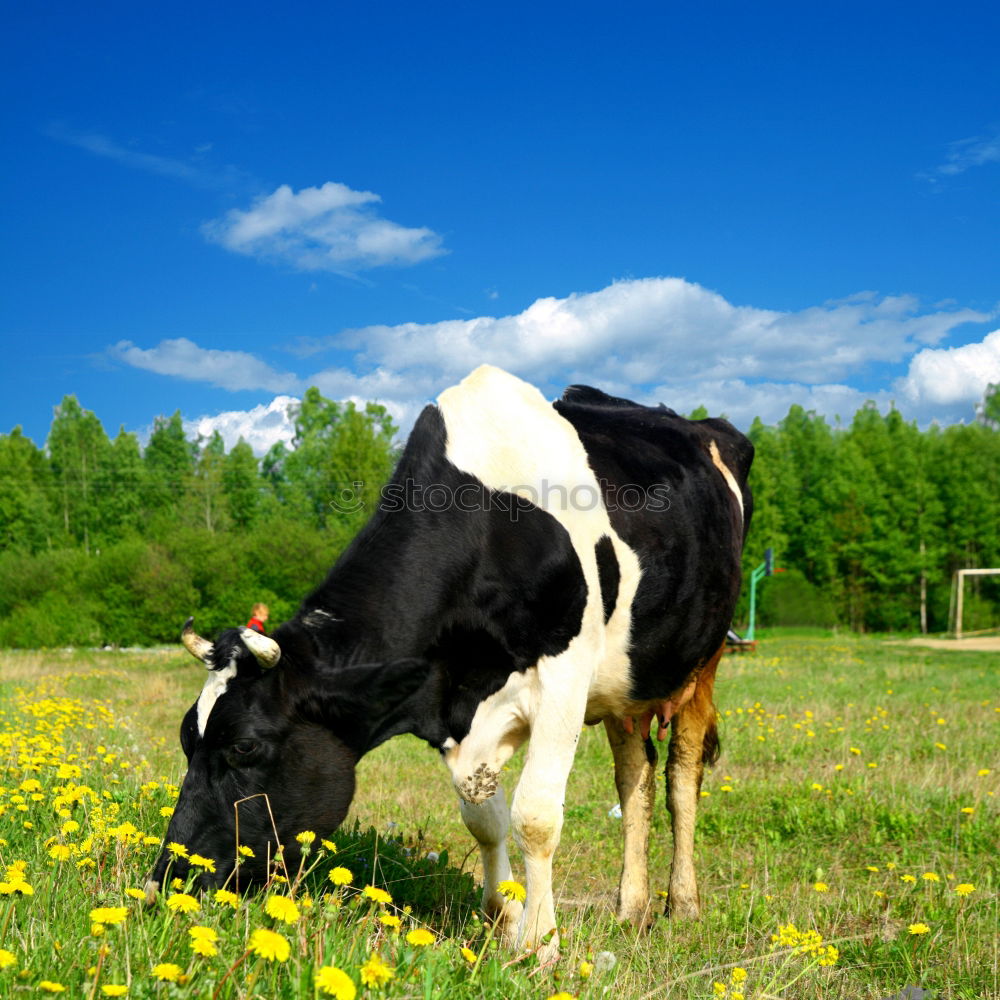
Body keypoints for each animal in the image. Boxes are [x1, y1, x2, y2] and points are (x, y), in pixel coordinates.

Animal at [145, 366, 748, 952]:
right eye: (186, 738)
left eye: (245, 746)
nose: (165, 880)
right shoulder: (457, 702)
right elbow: (482, 816)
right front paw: (504, 919)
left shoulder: (565, 675)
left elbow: (535, 816)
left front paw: (540, 943)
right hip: (627, 681)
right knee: (634, 776)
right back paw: (630, 910)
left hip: (705, 657)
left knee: (681, 774)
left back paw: (682, 905)